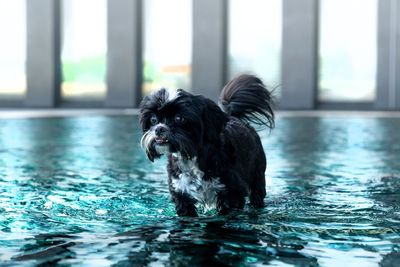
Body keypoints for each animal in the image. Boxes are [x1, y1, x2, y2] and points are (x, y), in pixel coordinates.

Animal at [139, 74, 274, 217]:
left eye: (179, 118)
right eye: (153, 120)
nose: (159, 129)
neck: (190, 156)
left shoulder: (232, 193)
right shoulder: (181, 194)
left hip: (258, 175)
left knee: (257, 195)